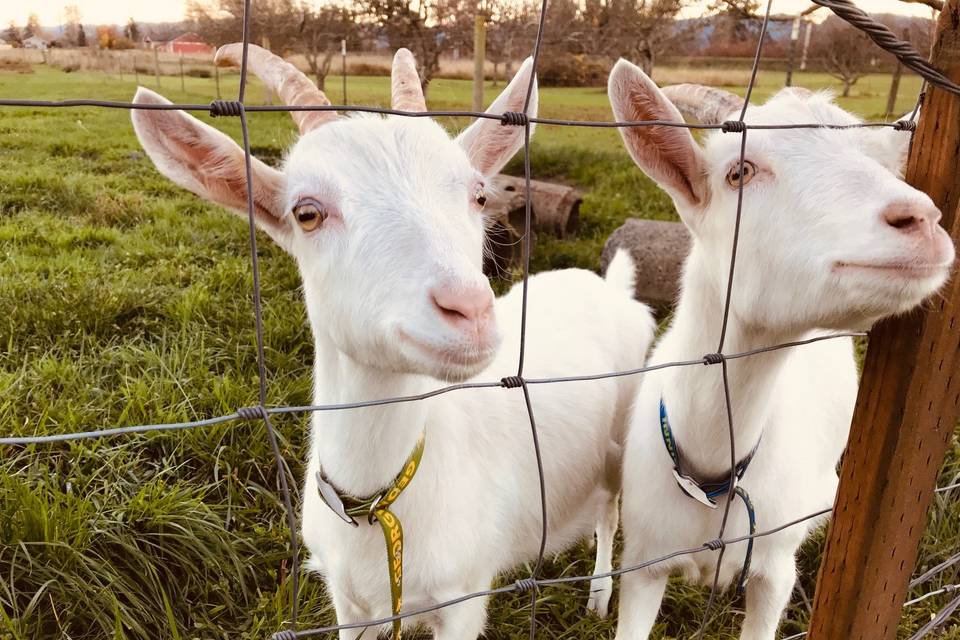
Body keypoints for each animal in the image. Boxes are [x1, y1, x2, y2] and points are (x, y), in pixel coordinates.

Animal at [131, 46, 656, 640]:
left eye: (480, 196)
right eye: (306, 212)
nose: (469, 311)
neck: (376, 505)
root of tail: (610, 286)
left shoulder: (463, 596)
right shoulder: (348, 602)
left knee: (610, 514)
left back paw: (599, 597)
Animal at [608, 57, 952, 636]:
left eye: (886, 164)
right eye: (739, 172)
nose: (920, 220)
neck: (713, 473)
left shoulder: (773, 569)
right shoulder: (644, 562)